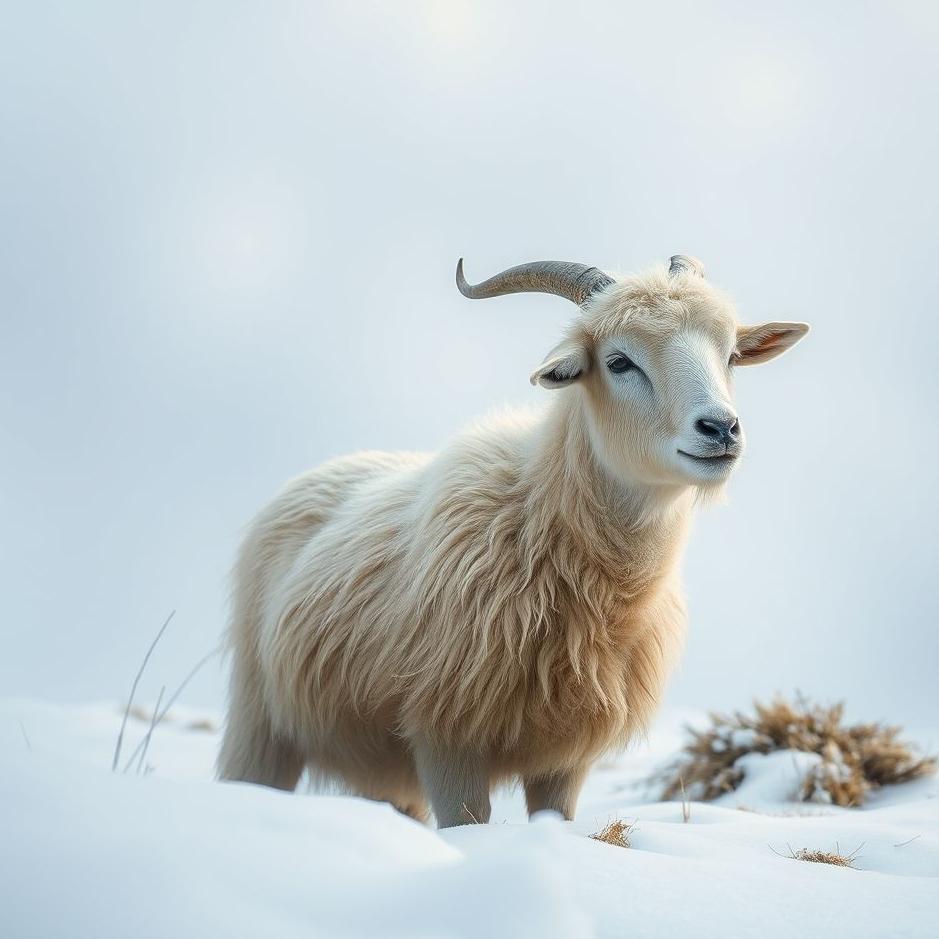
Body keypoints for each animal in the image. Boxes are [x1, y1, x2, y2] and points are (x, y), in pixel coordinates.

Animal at [217, 255, 809, 826]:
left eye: (730, 356)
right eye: (619, 361)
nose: (721, 429)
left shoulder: (565, 757)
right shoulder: (444, 735)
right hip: (258, 719)